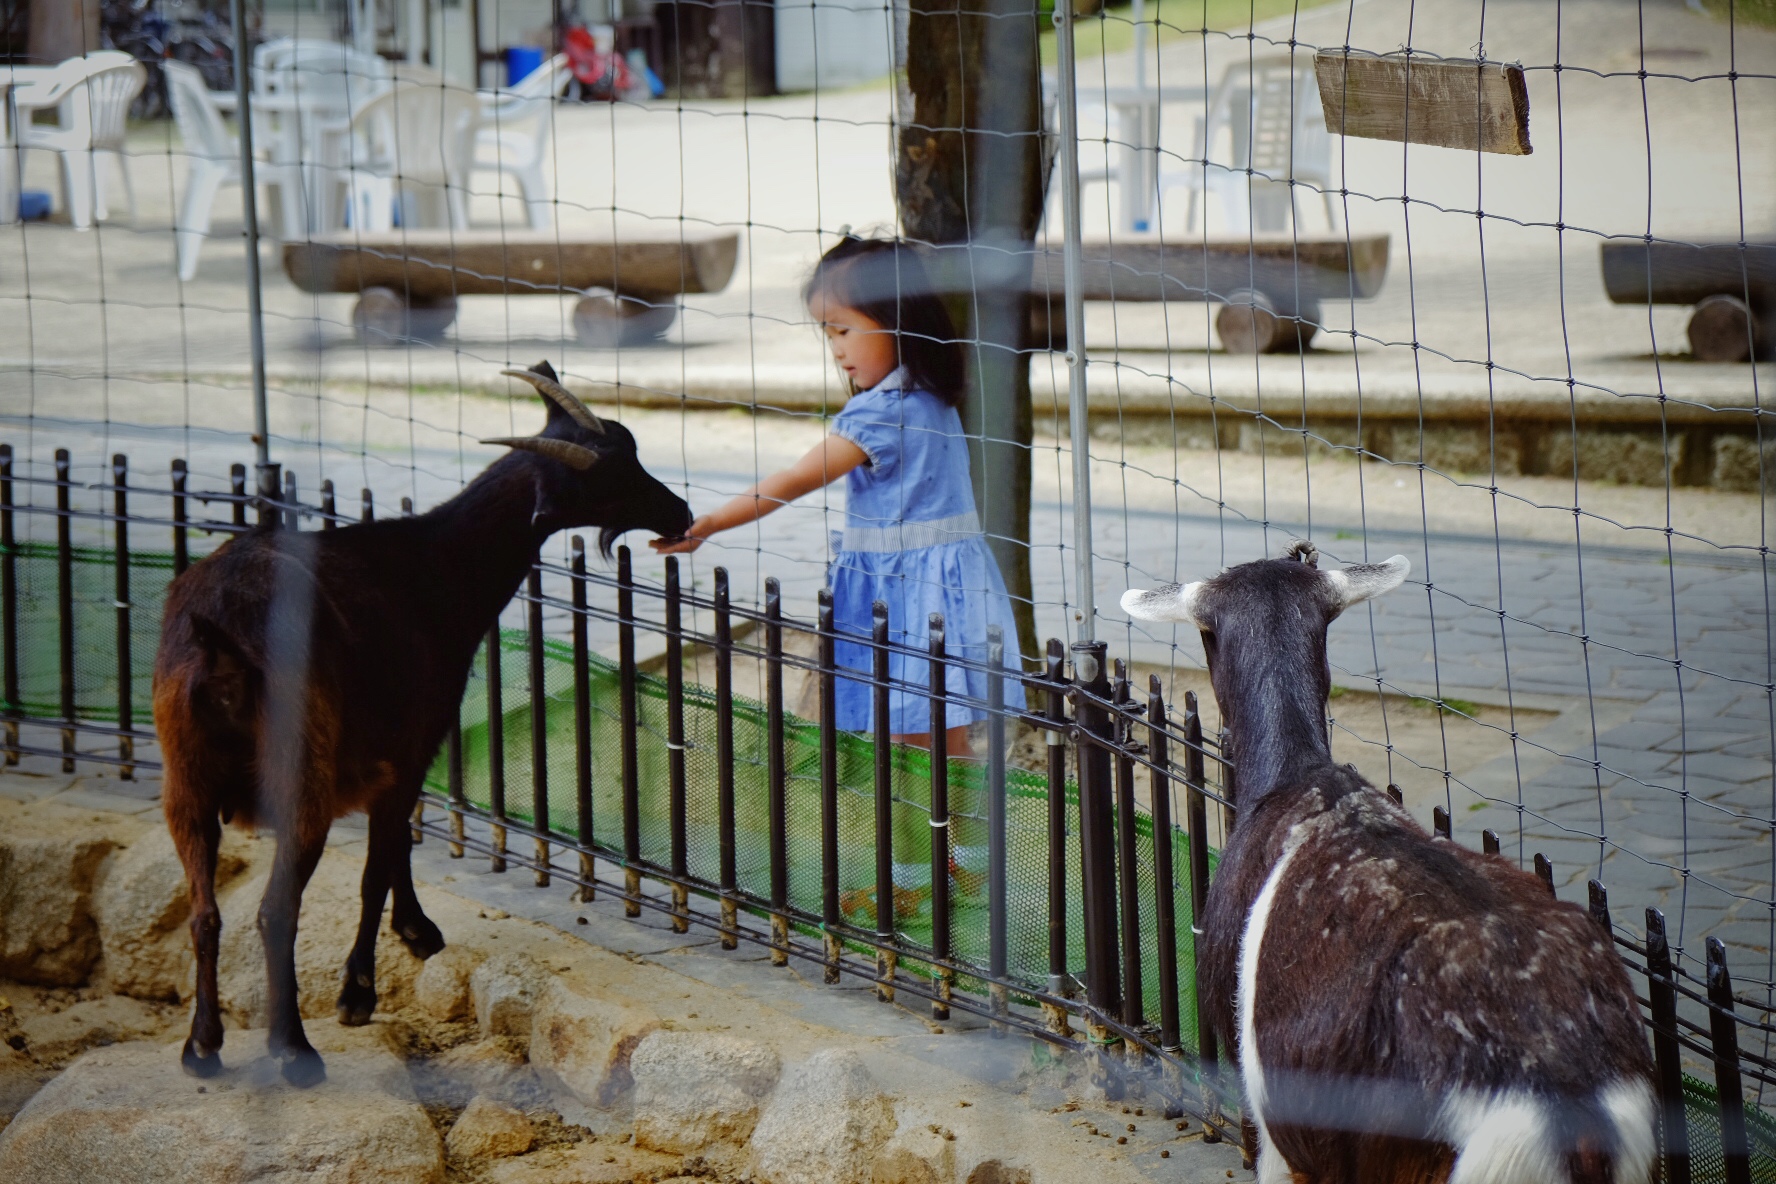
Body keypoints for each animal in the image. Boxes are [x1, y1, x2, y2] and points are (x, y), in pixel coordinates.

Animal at [156, 363, 689, 1093]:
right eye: (606, 479)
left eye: (629, 446)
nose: (680, 513)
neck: (435, 566)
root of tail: (219, 642)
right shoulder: (411, 745)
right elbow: (377, 865)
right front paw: (358, 993)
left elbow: (398, 846)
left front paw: (415, 931)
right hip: (300, 776)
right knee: (274, 909)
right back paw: (294, 1050)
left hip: (185, 780)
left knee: (205, 910)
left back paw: (202, 1045)